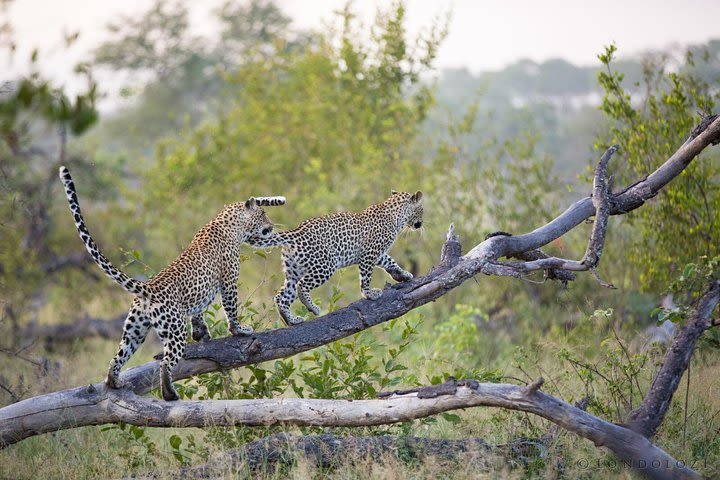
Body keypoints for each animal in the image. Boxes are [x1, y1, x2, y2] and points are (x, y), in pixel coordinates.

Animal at [59, 166, 286, 402]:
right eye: (263, 214)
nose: (271, 227)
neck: (230, 224)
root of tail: (148, 289)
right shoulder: (229, 280)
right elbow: (231, 309)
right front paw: (240, 330)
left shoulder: (200, 295)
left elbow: (198, 312)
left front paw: (201, 334)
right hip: (174, 329)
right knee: (166, 362)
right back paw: (169, 394)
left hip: (135, 329)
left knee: (118, 356)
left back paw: (114, 382)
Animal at [249, 191, 422, 326]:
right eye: (421, 210)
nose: (420, 224)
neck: (396, 216)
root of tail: (295, 232)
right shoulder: (369, 253)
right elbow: (366, 277)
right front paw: (369, 294)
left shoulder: (377, 254)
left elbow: (390, 261)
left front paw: (403, 275)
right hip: (325, 265)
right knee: (302, 285)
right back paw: (312, 308)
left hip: (293, 270)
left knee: (282, 296)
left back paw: (291, 320)